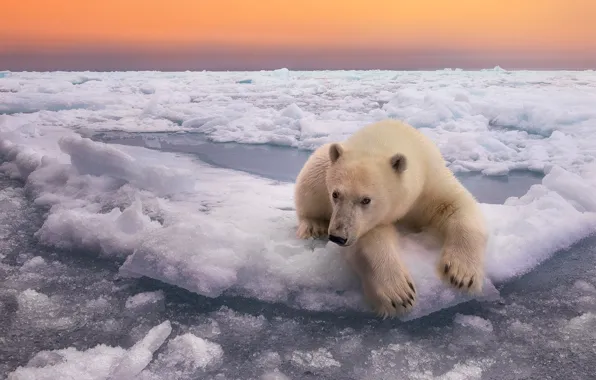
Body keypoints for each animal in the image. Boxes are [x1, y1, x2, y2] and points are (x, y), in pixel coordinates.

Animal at [296, 119, 486, 318]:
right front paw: (399, 294)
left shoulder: (431, 182)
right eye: (335, 194)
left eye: (366, 199)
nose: (338, 236)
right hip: (320, 168)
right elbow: (372, 238)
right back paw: (313, 225)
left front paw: (461, 274)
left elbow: (457, 205)